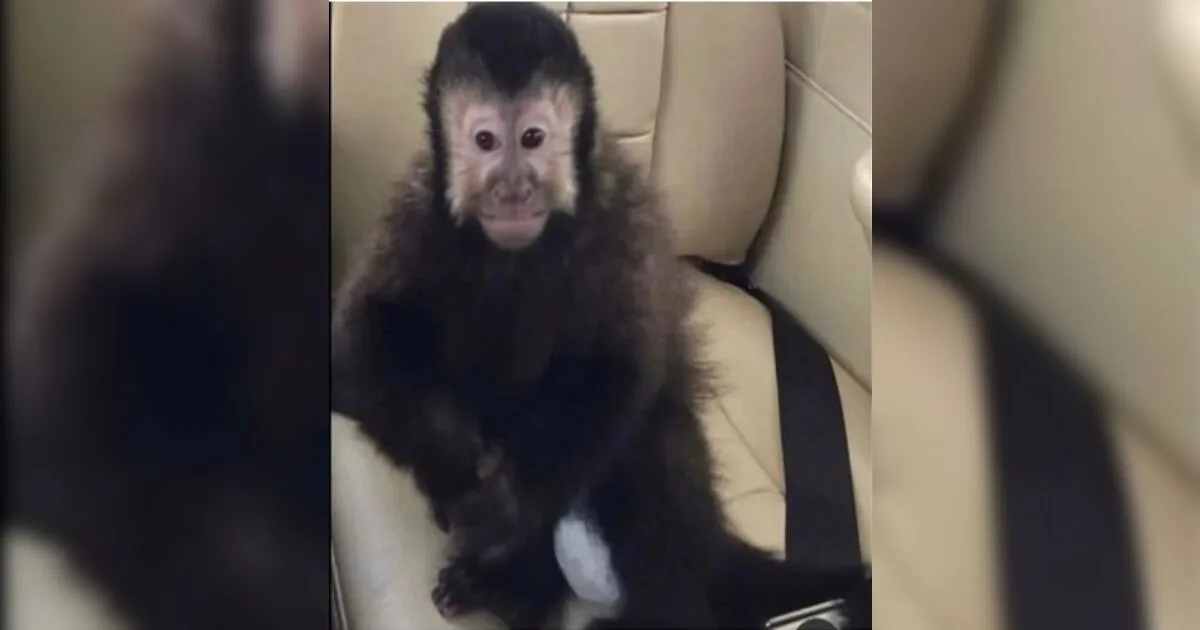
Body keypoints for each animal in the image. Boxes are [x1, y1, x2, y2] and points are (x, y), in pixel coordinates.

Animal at [330, 3, 870, 628]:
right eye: (485, 141)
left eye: (533, 139)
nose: (512, 188)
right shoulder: (417, 213)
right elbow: (360, 337)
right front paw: (450, 454)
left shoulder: (619, 219)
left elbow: (623, 372)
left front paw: (509, 502)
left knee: (649, 449)